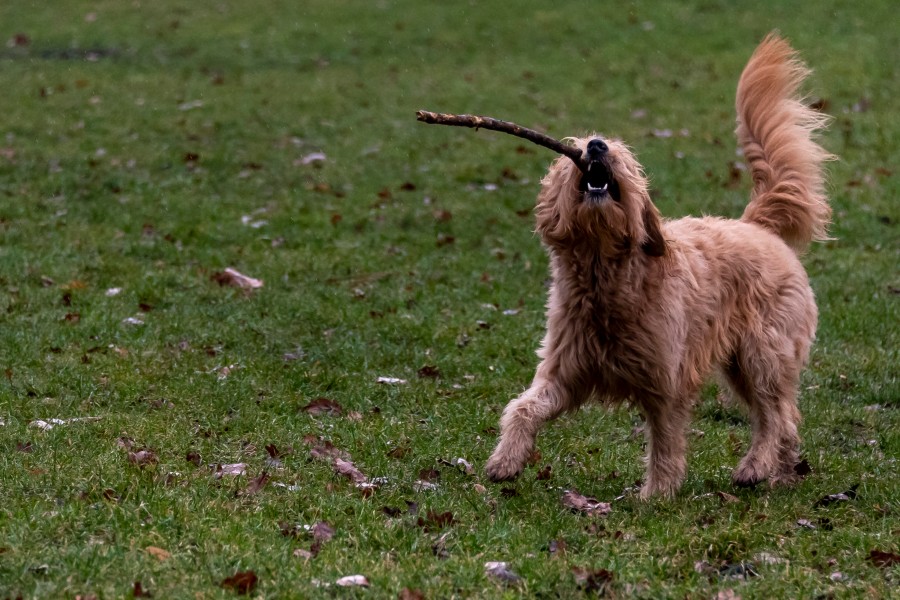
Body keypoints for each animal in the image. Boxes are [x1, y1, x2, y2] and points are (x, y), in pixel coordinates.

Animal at [486, 35, 828, 500]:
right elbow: (523, 407)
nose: (597, 145)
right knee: (784, 417)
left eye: (624, 155)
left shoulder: (666, 380)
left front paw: (658, 494)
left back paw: (756, 466)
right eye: (578, 145)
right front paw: (506, 460)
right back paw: (782, 473)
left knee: (775, 413)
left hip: (763, 354)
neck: (606, 276)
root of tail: (756, 225)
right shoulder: (565, 372)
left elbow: (665, 441)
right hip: (744, 363)